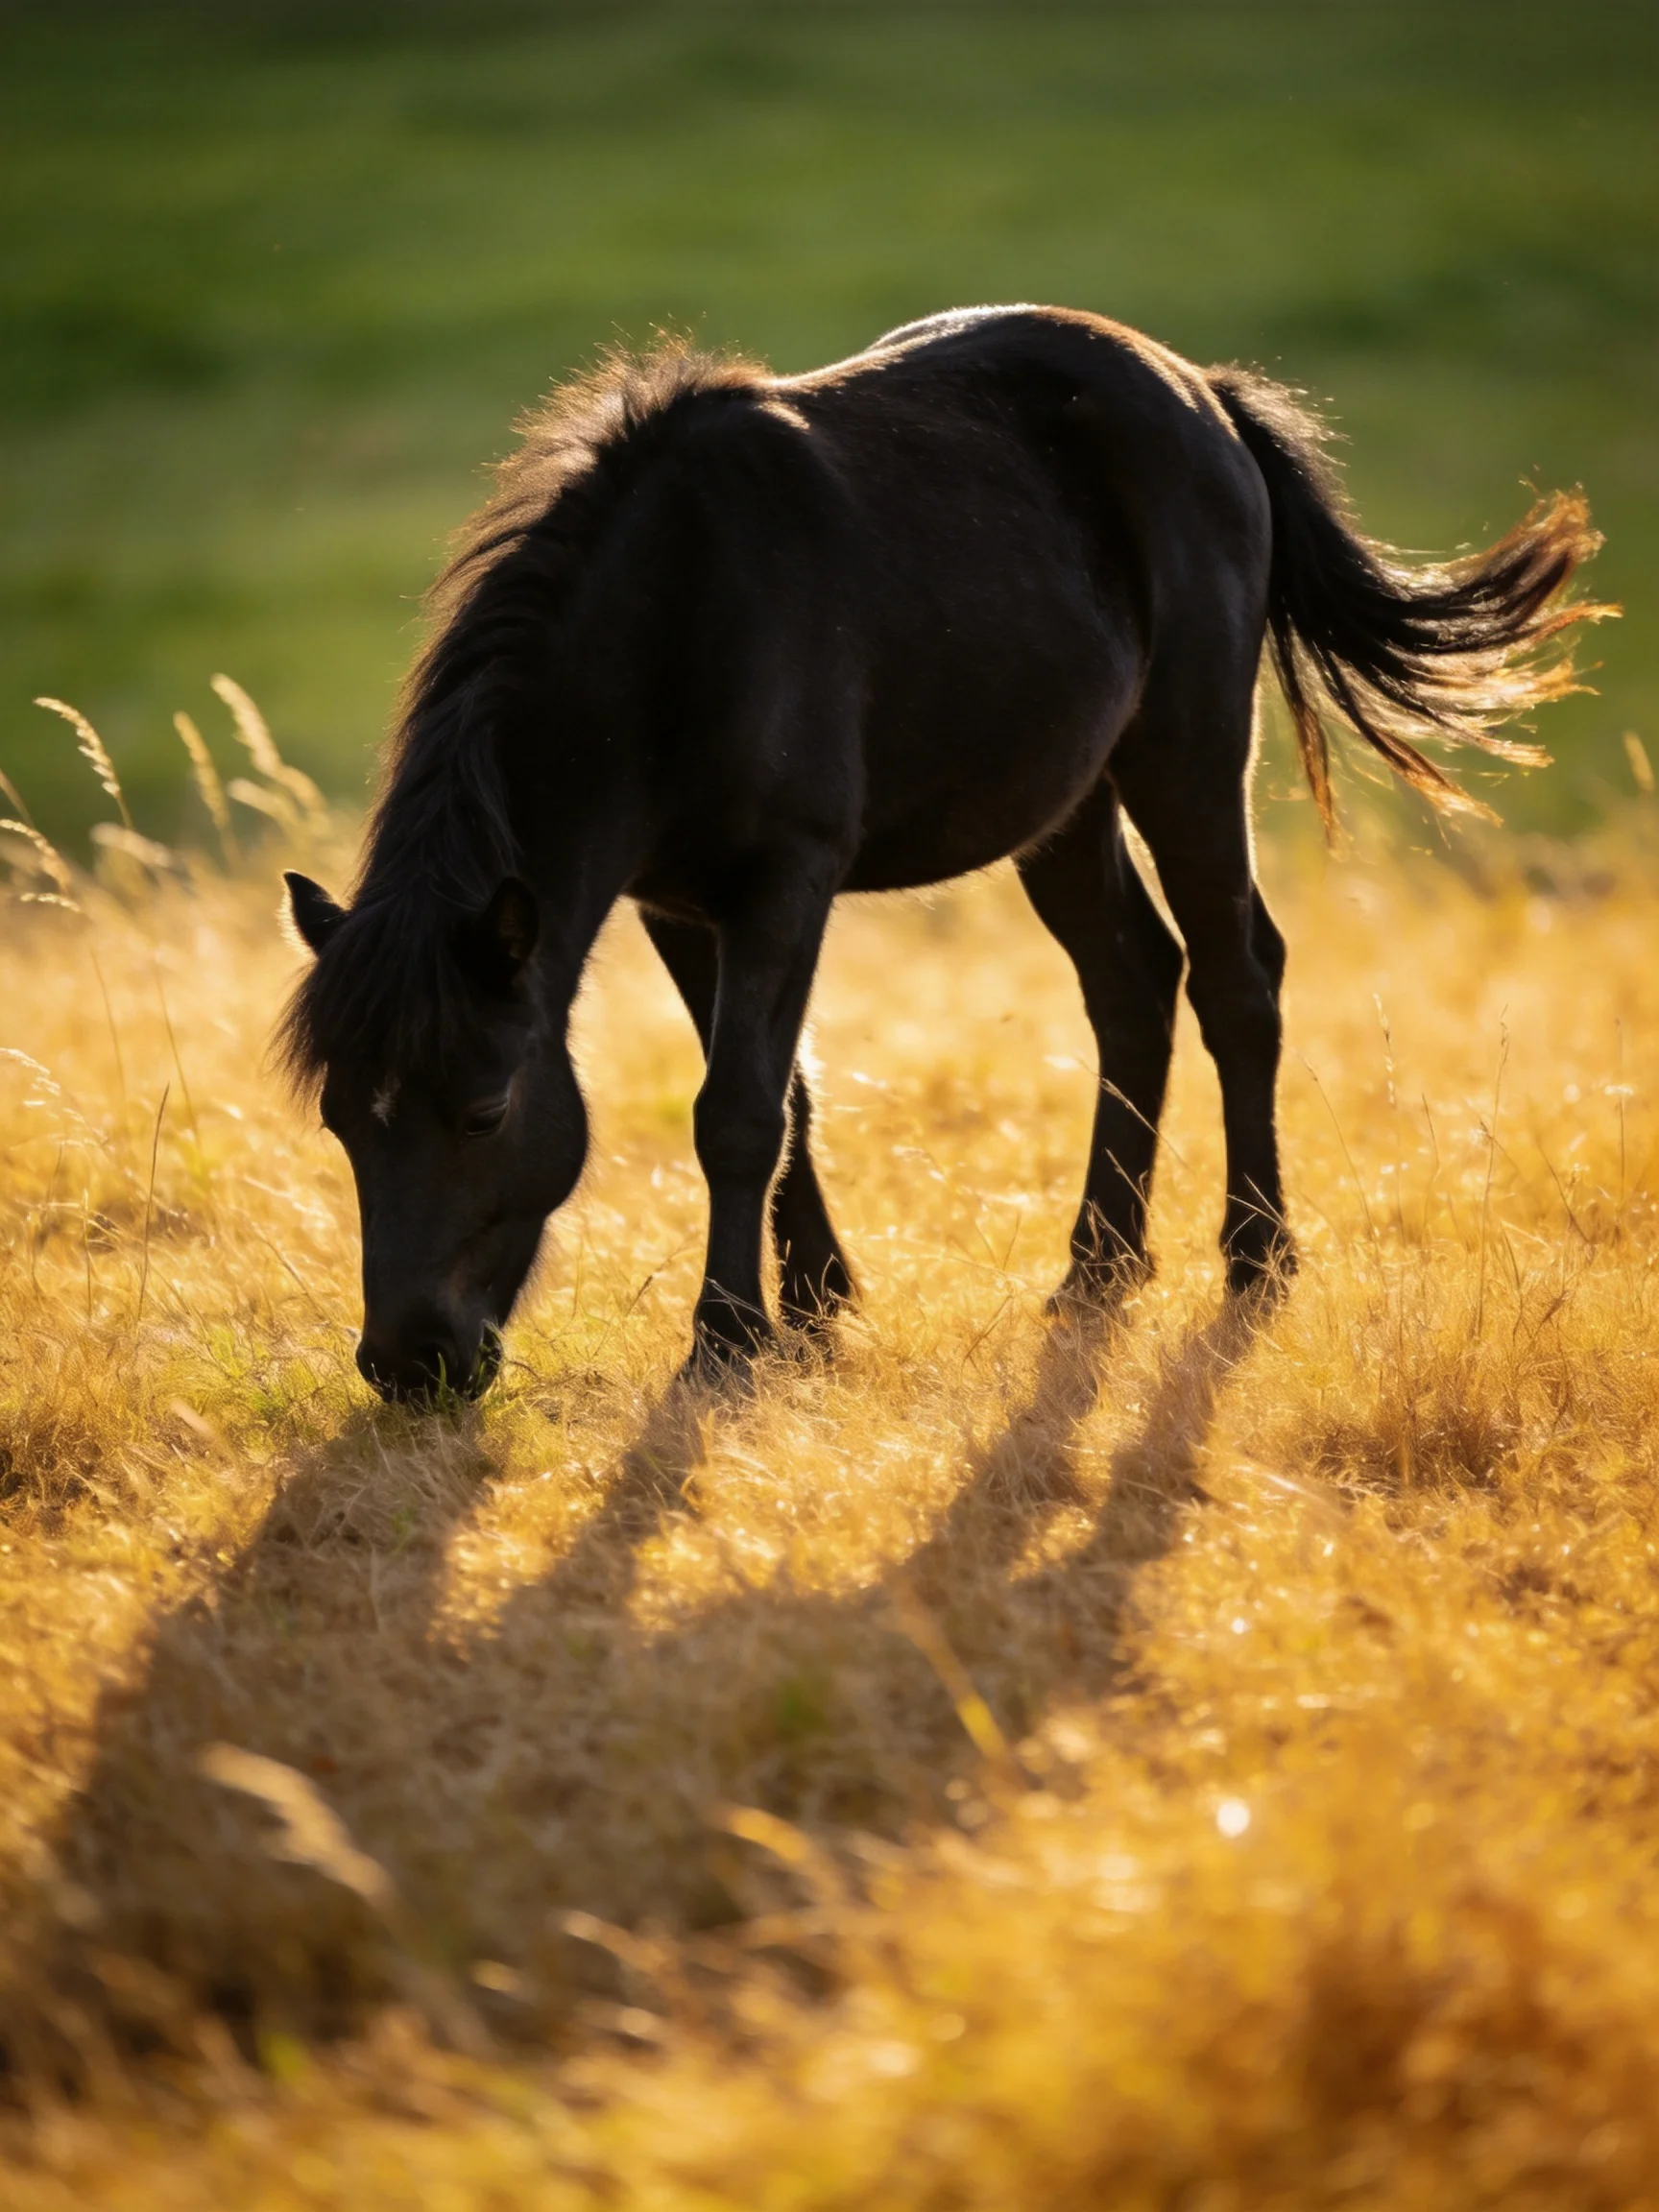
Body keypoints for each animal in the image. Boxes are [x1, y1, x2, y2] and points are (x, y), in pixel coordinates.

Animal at [279, 304, 1607, 1401]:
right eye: (342, 1119)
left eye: (485, 1110)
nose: (408, 1364)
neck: (680, 620)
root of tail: (1206, 395)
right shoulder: (674, 903)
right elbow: (783, 1095)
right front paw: (814, 1307)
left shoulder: (786, 882)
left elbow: (739, 1109)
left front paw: (728, 1343)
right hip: (1065, 807)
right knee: (1134, 982)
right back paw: (1098, 1267)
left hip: (1186, 756)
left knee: (1238, 980)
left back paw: (1257, 1256)